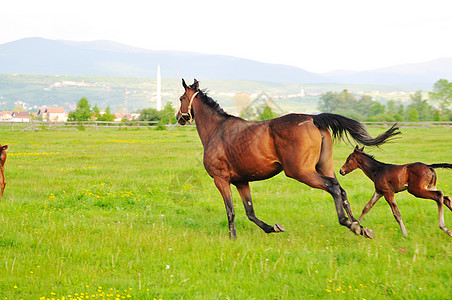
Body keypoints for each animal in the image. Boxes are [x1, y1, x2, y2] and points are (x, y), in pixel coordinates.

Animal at [177, 79, 400, 239]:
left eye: (180, 98)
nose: (179, 117)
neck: (217, 129)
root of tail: (313, 118)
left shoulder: (221, 179)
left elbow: (230, 211)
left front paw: (232, 238)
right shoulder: (241, 181)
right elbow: (250, 212)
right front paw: (273, 228)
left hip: (301, 172)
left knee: (333, 187)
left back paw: (347, 222)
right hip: (325, 167)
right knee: (341, 189)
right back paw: (359, 227)